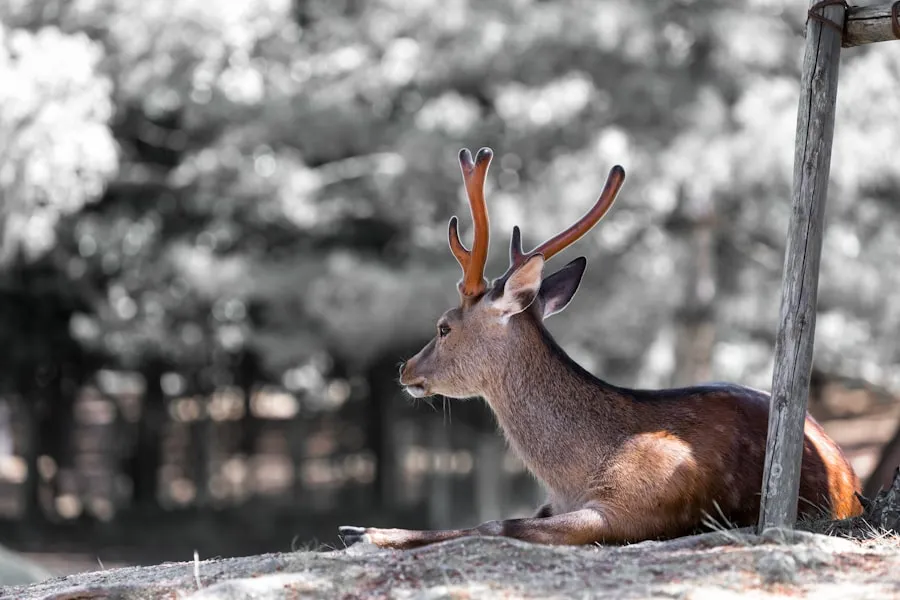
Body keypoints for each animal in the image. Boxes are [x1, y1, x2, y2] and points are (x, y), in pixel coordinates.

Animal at [339, 147, 863, 550]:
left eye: (444, 327)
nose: (406, 369)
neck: (573, 474)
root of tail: (852, 476)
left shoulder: (632, 508)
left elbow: (495, 523)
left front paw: (366, 533)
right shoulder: (552, 502)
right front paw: (363, 529)